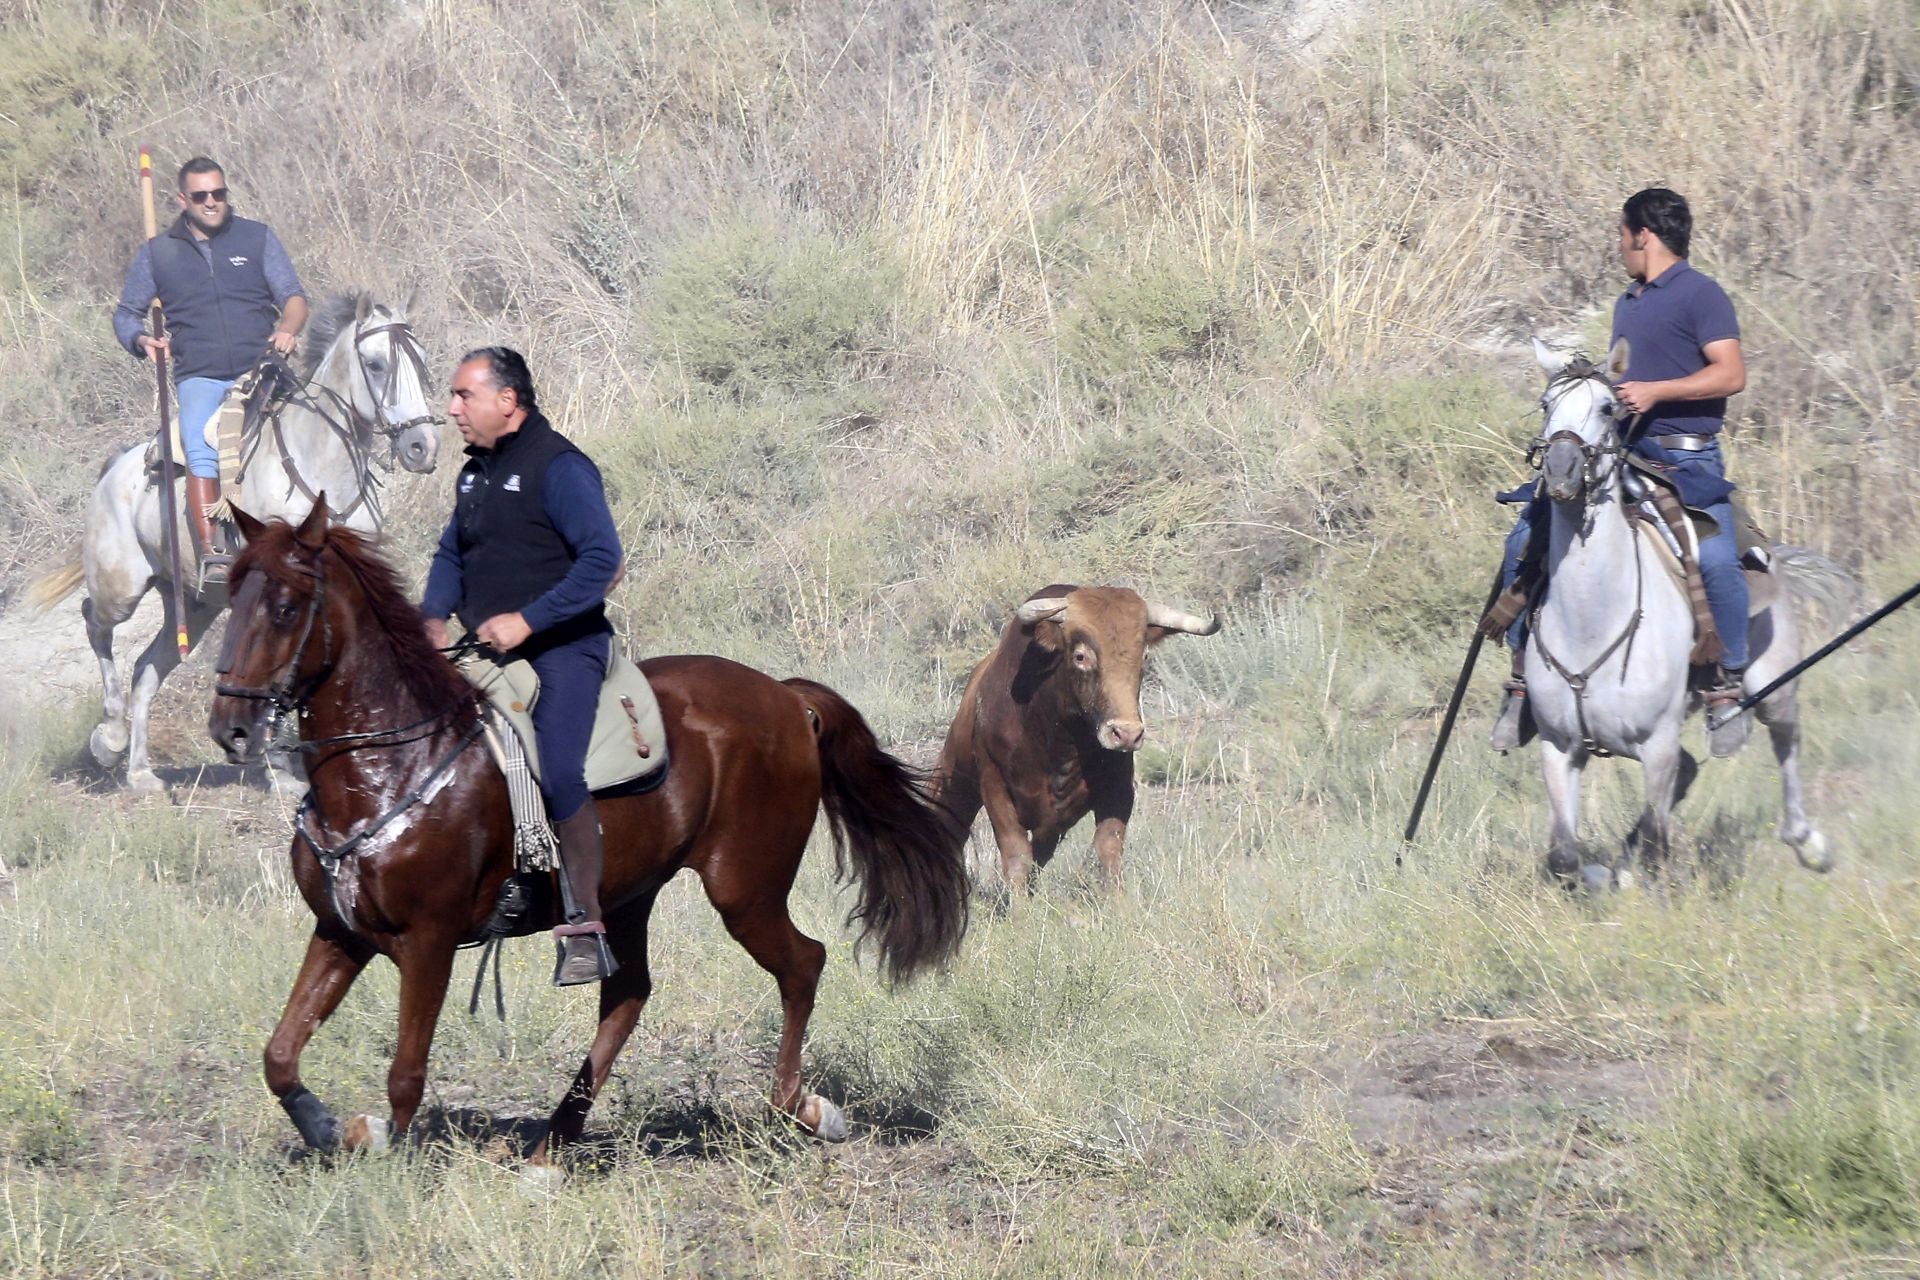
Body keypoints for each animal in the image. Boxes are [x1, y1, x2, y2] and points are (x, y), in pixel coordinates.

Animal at [29, 293, 441, 790]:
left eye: (421, 363)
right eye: (376, 365)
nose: (422, 446)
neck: (319, 470)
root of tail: (113, 469)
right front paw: (281, 768)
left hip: (193, 605)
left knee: (145, 670)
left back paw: (141, 772)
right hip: (120, 588)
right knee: (95, 621)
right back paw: (109, 738)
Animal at [206, 502, 975, 1174]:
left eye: (285, 608)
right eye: (231, 599)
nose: (230, 730)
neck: (393, 762)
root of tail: (787, 698)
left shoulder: (427, 942)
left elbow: (405, 1072)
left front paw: (379, 1147)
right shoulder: (341, 933)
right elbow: (280, 1054)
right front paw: (328, 1129)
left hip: (744, 888)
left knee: (802, 964)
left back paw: (801, 1108)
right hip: (628, 894)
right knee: (628, 994)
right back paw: (552, 1146)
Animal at [1512, 339, 1843, 890]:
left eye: (1609, 408)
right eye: (1544, 404)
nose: (1561, 471)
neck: (1590, 623)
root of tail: (1771, 553)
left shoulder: (1657, 744)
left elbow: (1655, 839)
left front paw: (1625, 878)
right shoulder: (1559, 746)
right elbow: (1564, 856)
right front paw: (1602, 876)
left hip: (1774, 687)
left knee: (1787, 741)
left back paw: (1809, 843)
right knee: (1688, 776)